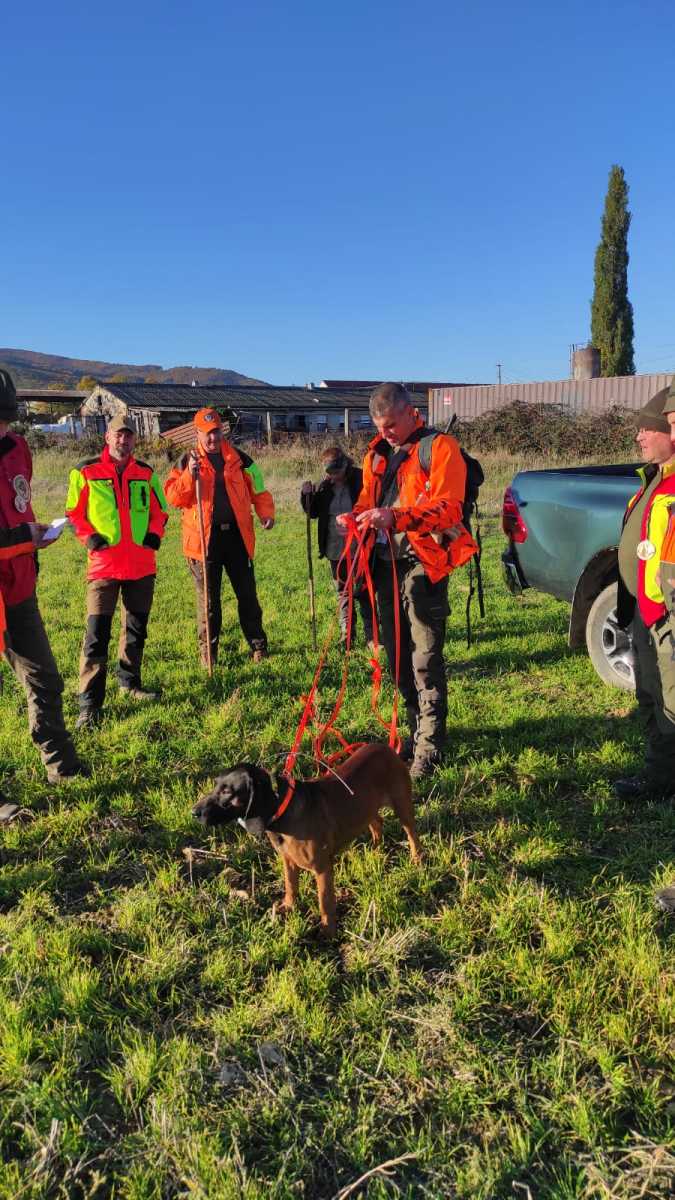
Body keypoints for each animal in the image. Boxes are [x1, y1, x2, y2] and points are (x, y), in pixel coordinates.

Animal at [193, 743, 422, 935]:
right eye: (216, 786)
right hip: (365, 807)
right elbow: (290, 886)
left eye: (227, 791)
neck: (282, 809)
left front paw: (328, 932)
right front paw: (288, 907)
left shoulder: (322, 868)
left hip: (402, 805)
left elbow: (325, 902)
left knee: (412, 834)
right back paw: (375, 852)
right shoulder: (287, 860)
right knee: (377, 823)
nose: (193, 812)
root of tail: (386, 747)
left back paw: (416, 860)